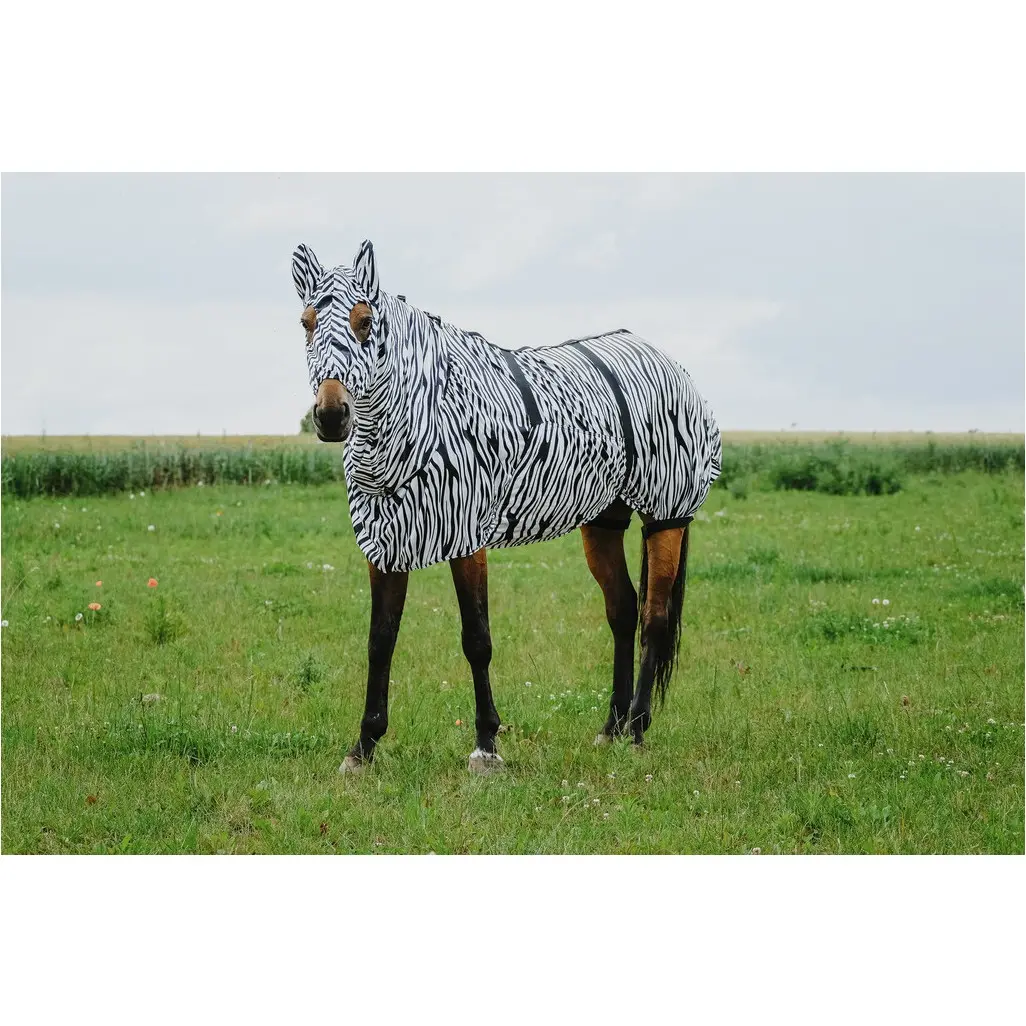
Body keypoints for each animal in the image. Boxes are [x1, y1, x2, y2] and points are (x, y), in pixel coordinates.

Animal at [291, 240, 722, 774]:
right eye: (306, 322)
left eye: (365, 321)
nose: (332, 416)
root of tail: (666, 360)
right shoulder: (387, 543)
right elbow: (380, 641)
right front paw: (364, 747)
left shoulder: (465, 538)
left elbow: (476, 639)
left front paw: (486, 746)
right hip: (603, 522)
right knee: (623, 610)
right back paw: (611, 729)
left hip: (666, 517)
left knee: (654, 619)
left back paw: (639, 730)